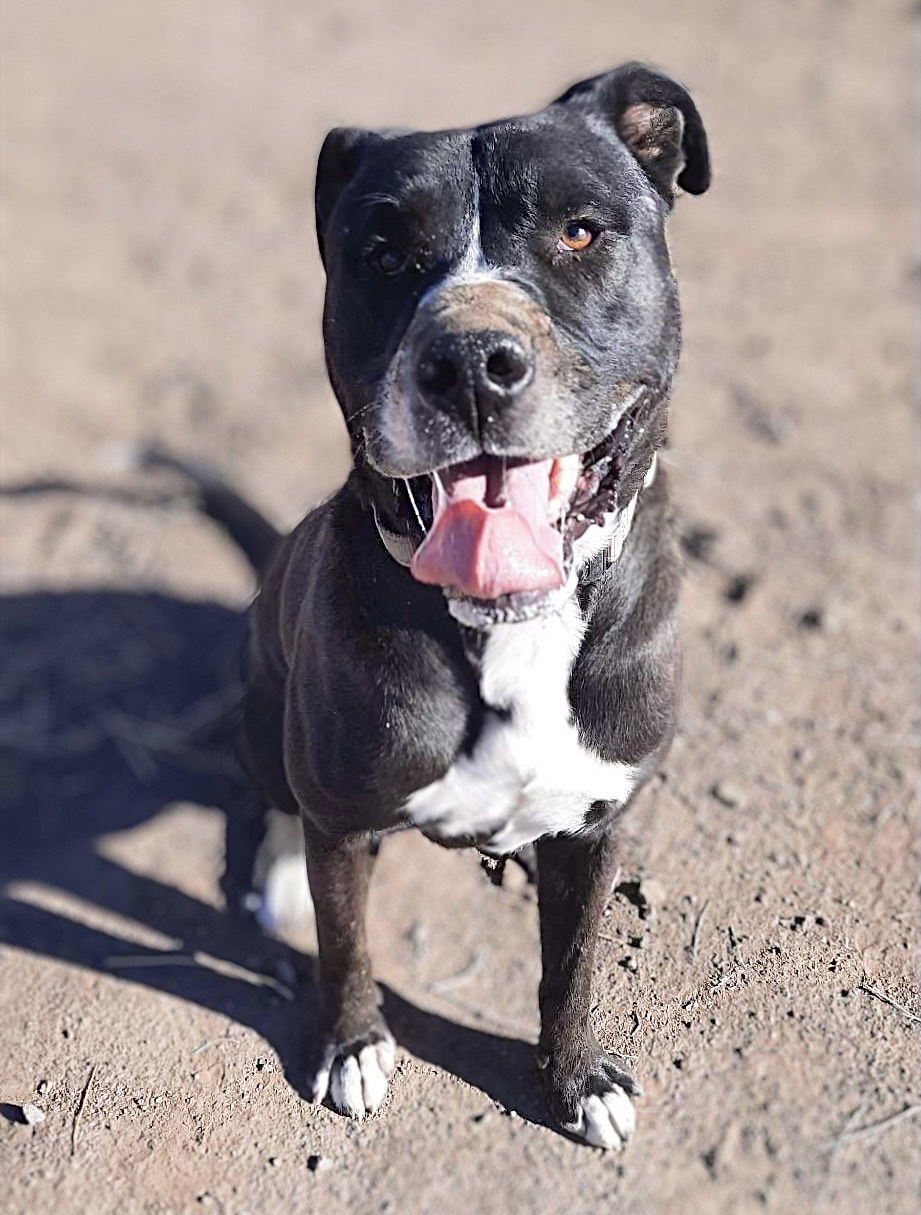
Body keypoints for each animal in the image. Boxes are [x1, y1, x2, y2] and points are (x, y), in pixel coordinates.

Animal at [172, 64, 709, 1146]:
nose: (468, 361)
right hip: (262, 710)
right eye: (381, 254)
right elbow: (345, 943)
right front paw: (350, 1045)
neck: (515, 628)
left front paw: (574, 1079)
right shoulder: (346, 813)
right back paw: (280, 872)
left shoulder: (600, 824)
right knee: (279, 798)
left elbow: (573, 965)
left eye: (579, 232)